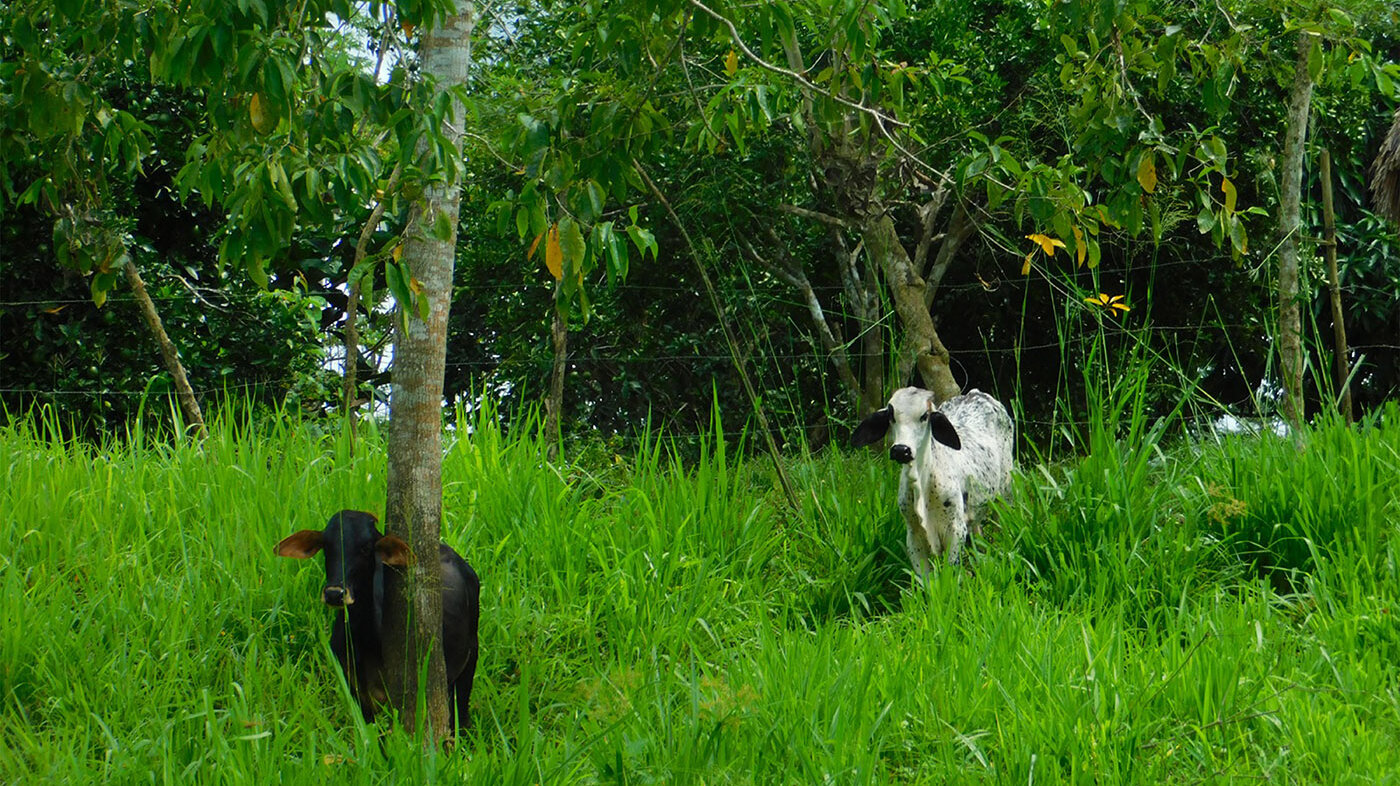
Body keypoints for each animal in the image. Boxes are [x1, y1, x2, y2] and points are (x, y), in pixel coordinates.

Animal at [845, 386, 1013, 577]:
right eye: (891, 415)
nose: (901, 450)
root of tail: (976, 393)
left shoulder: (955, 531)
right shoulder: (913, 535)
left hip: (1005, 493)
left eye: (924, 416)